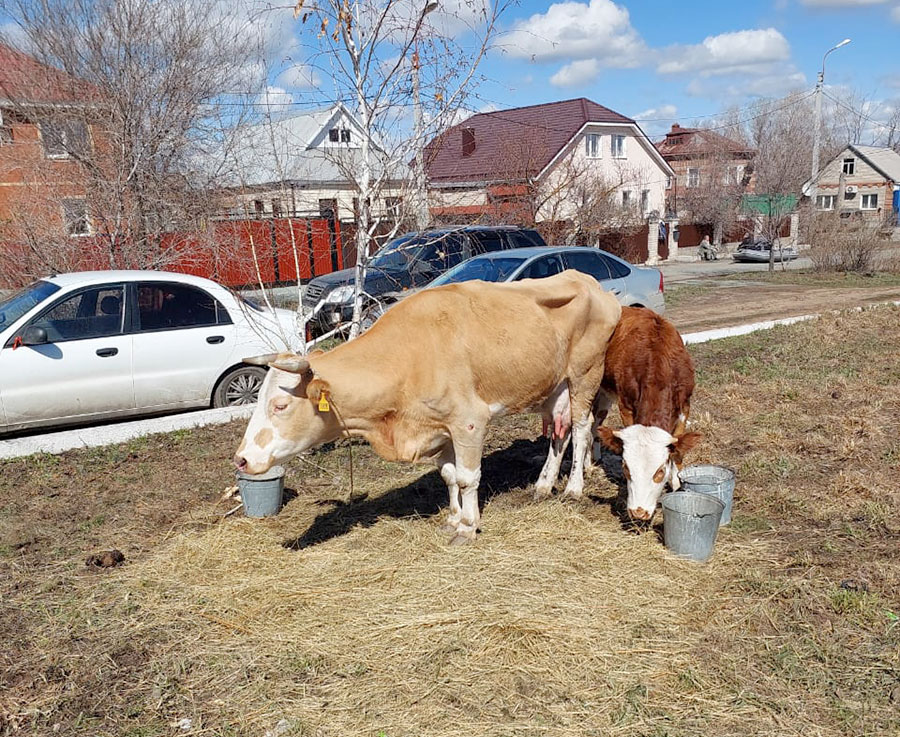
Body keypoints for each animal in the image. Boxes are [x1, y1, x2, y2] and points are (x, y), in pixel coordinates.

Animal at [234, 272, 620, 548]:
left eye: (280, 404)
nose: (241, 459)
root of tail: (590, 282)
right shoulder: (437, 427)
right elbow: (448, 475)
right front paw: (452, 518)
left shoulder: (469, 422)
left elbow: (467, 477)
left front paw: (468, 526)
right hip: (553, 385)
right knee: (560, 430)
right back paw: (543, 485)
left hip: (584, 375)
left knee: (581, 429)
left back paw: (573, 489)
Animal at [592, 308, 704, 520]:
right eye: (626, 467)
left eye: (660, 470)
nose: (638, 512)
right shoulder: (626, 406)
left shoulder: (685, 405)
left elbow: (678, 450)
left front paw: (676, 483)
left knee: (597, 419)